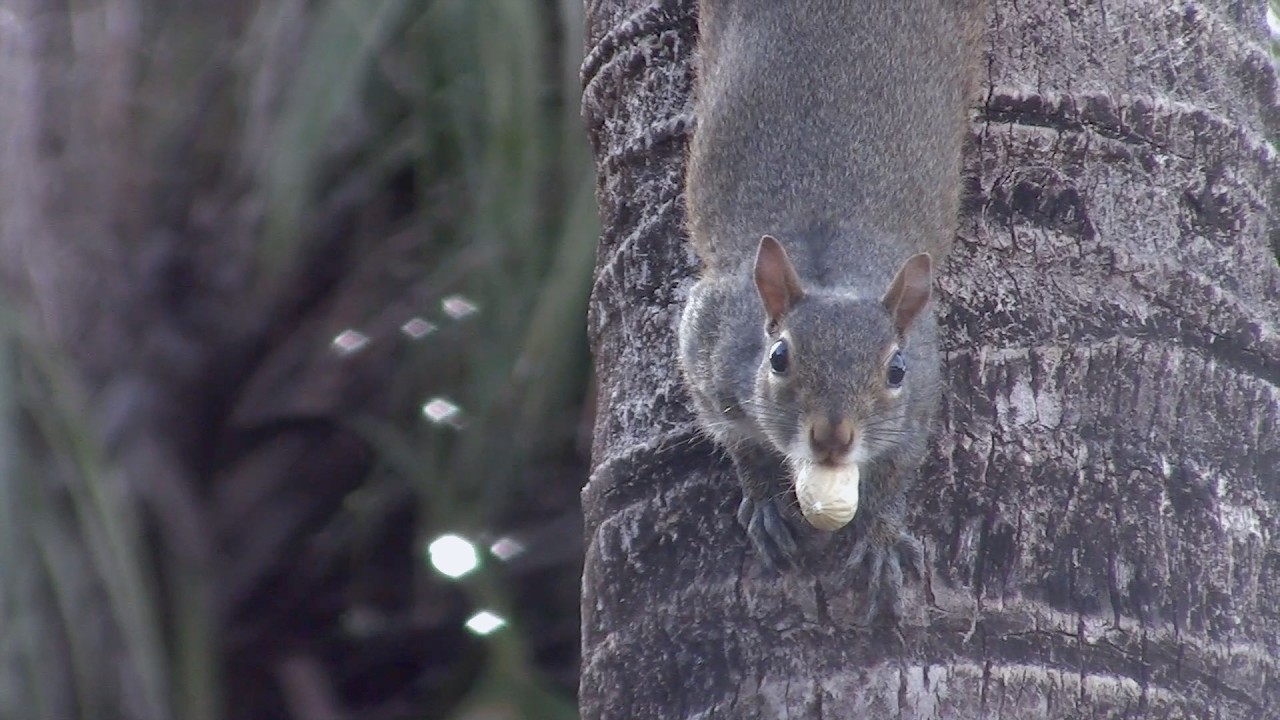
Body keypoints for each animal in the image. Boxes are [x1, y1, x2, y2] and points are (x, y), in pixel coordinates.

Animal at [677, 0, 983, 620]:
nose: (834, 437)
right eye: (778, 358)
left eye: (896, 370)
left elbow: (899, 466)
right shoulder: (706, 343)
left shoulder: (923, 391)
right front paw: (765, 500)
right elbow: (736, 438)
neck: (830, 270)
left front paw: (882, 537)